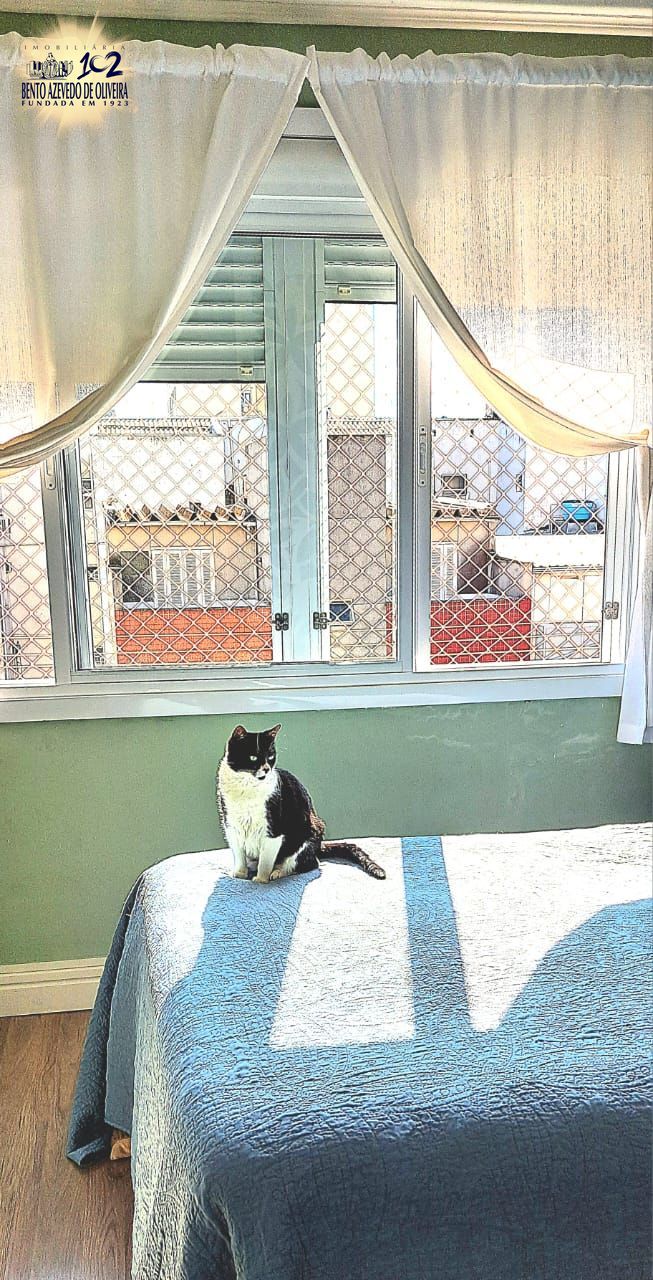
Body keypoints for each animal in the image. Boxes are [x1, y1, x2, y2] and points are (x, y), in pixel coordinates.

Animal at [216, 724, 385, 884]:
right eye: (253, 757)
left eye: (270, 756)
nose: (267, 769)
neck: (246, 789)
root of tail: (319, 846)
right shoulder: (231, 826)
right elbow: (239, 855)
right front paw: (239, 875)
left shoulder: (273, 830)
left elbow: (265, 861)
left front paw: (261, 880)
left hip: (308, 833)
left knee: (309, 864)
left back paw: (277, 873)